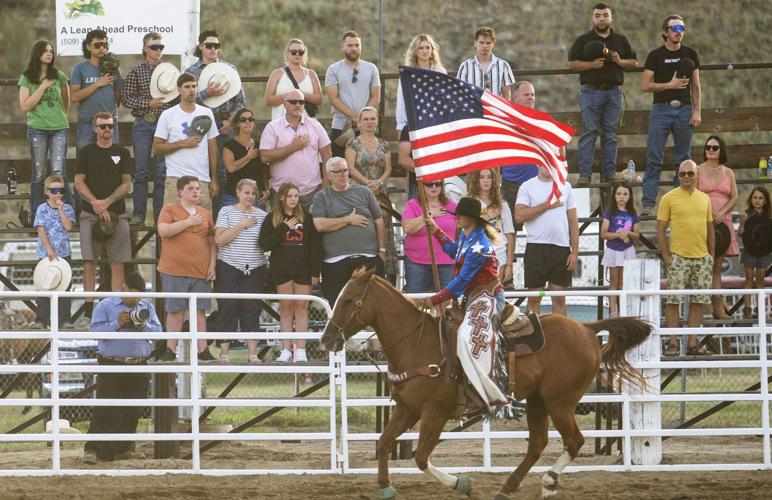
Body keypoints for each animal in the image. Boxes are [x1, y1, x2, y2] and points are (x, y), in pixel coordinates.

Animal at [320, 270, 652, 500]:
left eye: (349, 300)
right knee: (537, 444)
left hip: (560, 401)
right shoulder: (407, 410)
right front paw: (386, 488)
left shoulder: (434, 413)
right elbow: (383, 443)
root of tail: (587, 328)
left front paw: (461, 484)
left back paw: (548, 482)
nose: (326, 339)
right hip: (538, 400)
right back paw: (508, 487)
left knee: (574, 441)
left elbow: (421, 457)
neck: (417, 345)